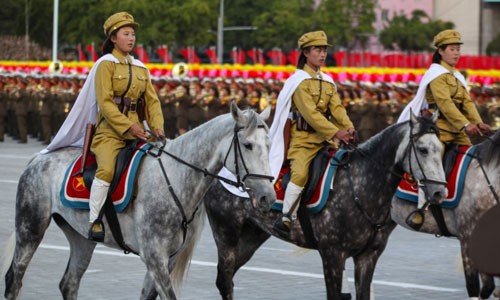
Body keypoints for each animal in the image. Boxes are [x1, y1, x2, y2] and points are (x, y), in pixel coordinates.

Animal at [1, 103, 276, 300]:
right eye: (248, 145)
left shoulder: (167, 259)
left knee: (69, 283)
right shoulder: (154, 258)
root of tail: (39, 157)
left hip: (82, 238)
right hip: (30, 229)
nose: (268, 197)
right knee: (14, 279)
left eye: (269, 144)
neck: (175, 178)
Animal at [190, 111, 446, 298]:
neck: (360, 187)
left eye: (442, 149)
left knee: (228, 278)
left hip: (253, 236)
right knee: (225, 279)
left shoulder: (368, 256)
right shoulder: (332, 254)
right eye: (423, 149)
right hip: (227, 234)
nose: (439, 191)